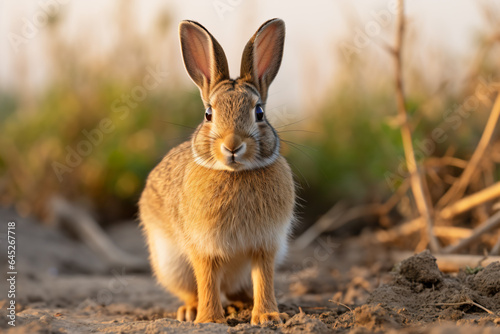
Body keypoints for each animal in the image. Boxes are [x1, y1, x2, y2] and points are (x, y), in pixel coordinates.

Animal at [139, 17, 294, 324]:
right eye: (208, 114)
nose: (232, 145)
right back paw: (191, 311)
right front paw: (210, 319)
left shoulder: (266, 245)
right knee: (194, 290)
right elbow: (208, 280)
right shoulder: (204, 247)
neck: (236, 173)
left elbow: (265, 279)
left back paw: (244, 305)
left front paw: (268, 316)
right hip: (170, 264)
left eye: (259, 113)